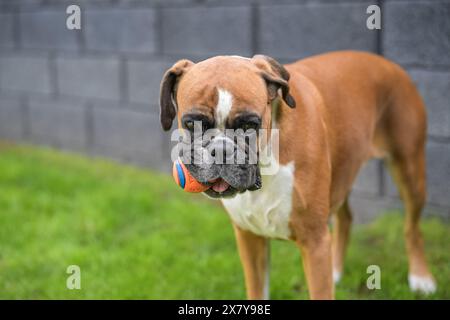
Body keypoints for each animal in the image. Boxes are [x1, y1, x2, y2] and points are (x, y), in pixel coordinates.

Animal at [158, 51, 436, 298]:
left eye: (250, 125)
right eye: (192, 123)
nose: (221, 150)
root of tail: (387, 63)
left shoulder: (314, 242)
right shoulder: (249, 238)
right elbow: (257, 292)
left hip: (410, 171)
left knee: (412, 228)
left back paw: (421, 278)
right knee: (346, 218)